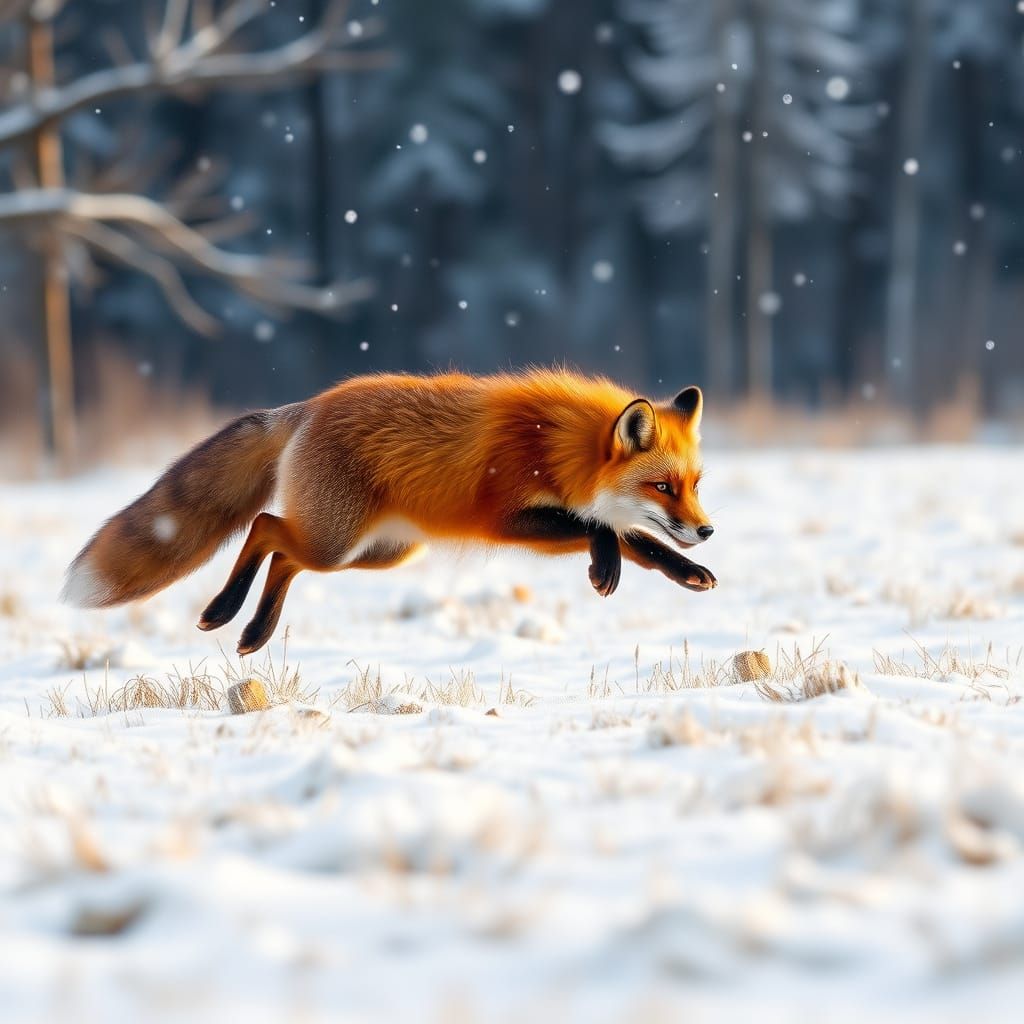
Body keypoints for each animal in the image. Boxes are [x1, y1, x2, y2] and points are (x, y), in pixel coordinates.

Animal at [62, 369, 717, 655]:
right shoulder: (505, 517)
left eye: (694, 484)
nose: (707, 529)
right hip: (337, 541)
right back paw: (226, 612)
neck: (554, 447)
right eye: (663, 486)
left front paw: (687, 573)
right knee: (266, 528)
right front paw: (607, 566)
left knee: (283, 556)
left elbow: (637, 540)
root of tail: (307, 406)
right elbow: (602, 526)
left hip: (378, 553)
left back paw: (254, 632)